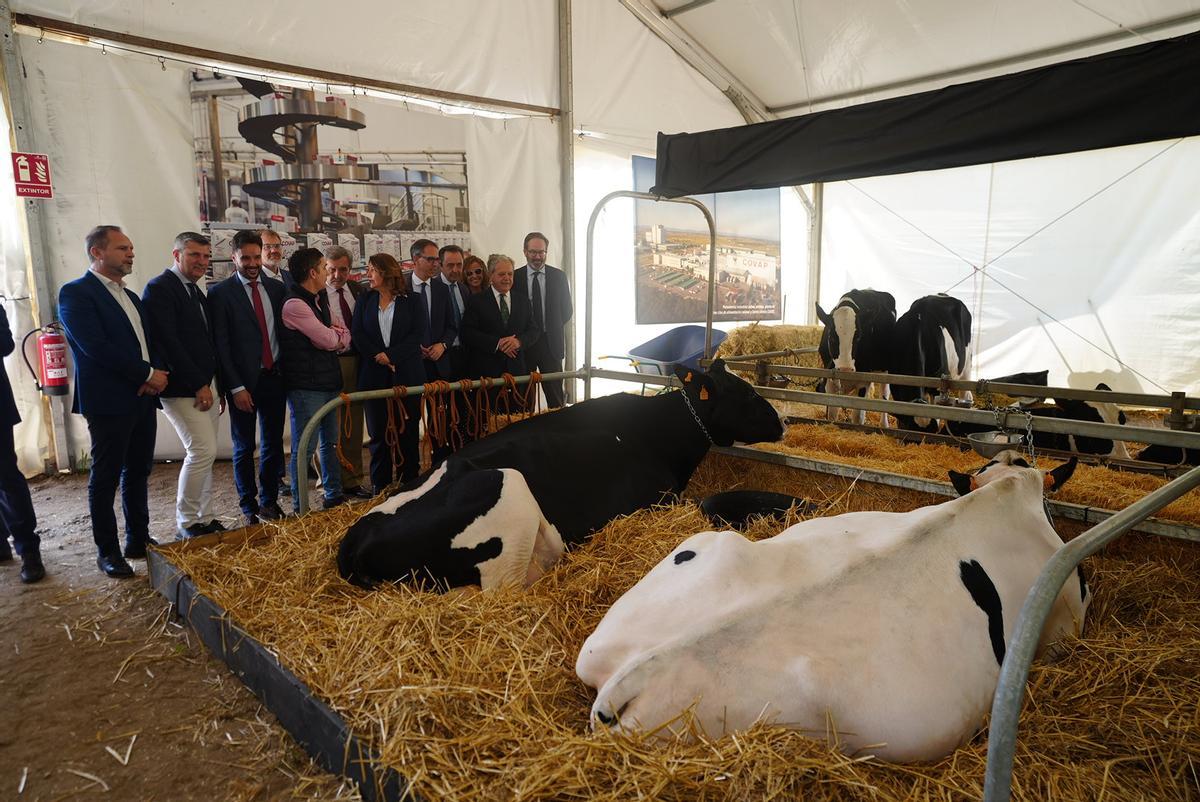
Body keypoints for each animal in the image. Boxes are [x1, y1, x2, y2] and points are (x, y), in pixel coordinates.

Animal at [338, 360, 787, 593]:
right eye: (748, 393)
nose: (783, 421)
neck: (660, 432)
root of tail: (354, 541)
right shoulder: (658, 498)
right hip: (508, 494)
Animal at [811, 288, 897, 425]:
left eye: (858, 337)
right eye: (831, 336)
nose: (845, 370)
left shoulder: (863, 382)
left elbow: (857, 417)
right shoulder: (830, 381)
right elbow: (831, 415)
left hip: (885, 369)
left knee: (884, 394)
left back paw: (884, 424)